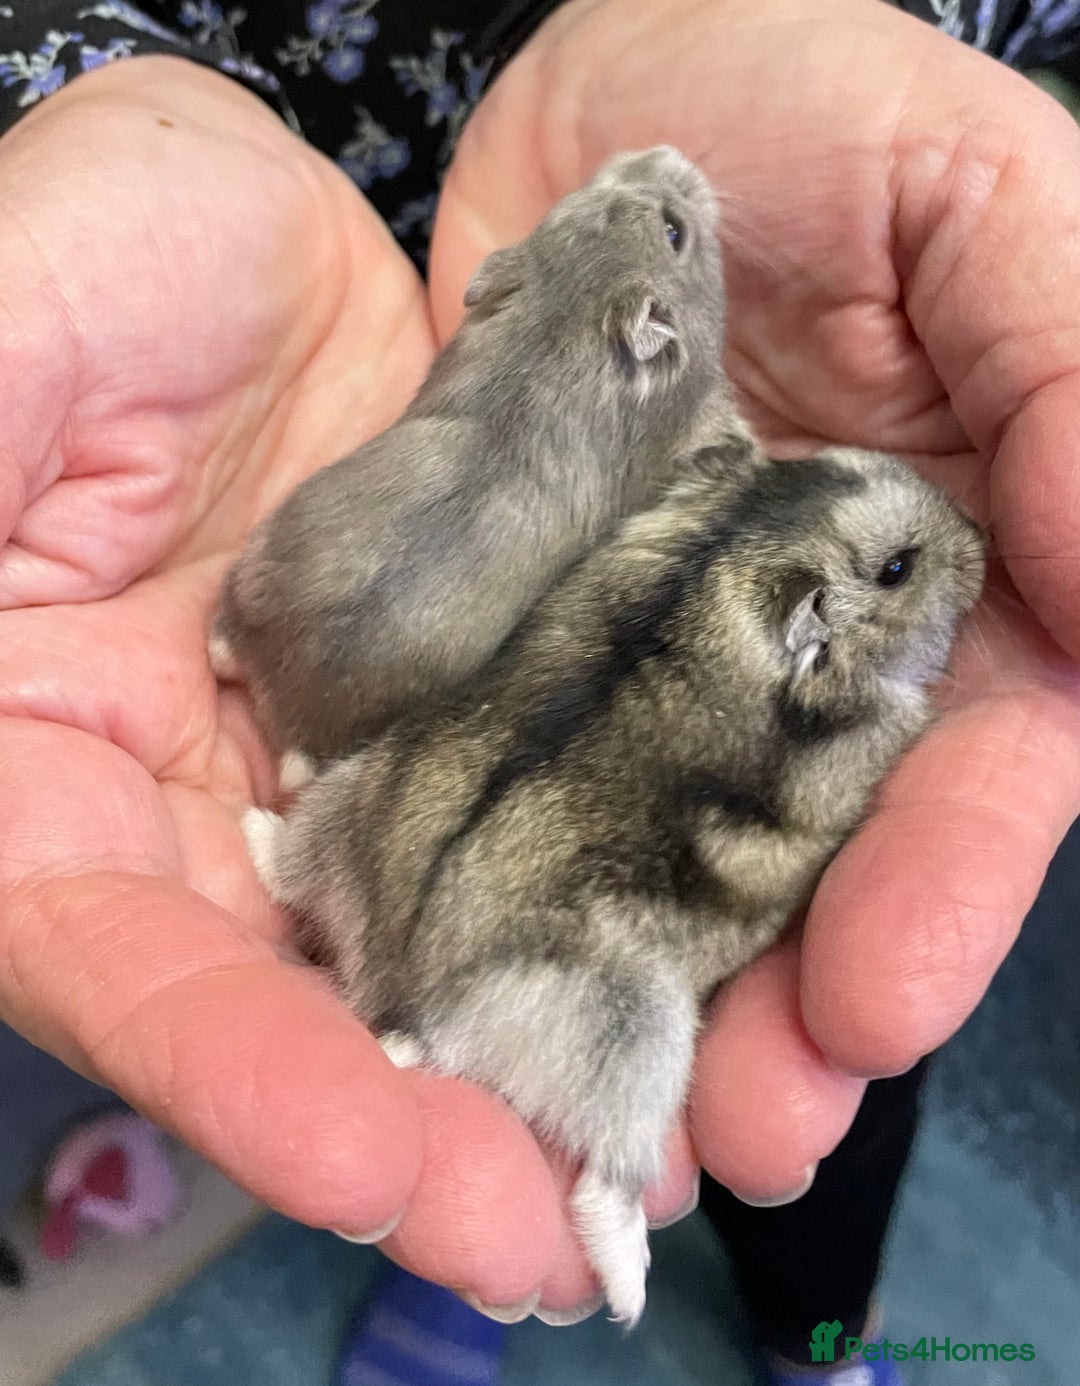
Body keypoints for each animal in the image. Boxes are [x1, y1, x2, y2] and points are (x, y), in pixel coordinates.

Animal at [244, 445, 985, 1325]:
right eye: (898, 568)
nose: (982, 537)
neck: (736, 546)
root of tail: (394, 1002)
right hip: (640, 1032)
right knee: (608, 1183)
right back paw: (629, 1294)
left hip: (354, 789)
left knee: (291, 864)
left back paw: (255, 832)